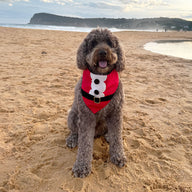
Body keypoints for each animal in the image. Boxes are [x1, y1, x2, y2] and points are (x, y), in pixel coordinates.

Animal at [66, 27, 126, 178]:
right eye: (93, 43)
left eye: (110, 43)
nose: (103, 52)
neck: (100, 78)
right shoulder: (86, 117)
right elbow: (85, 143)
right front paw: (82, 167)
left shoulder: (116, 113)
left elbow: (117, 136)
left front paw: (118, 156)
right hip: (72, 115)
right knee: (75, 131)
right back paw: (72, 139)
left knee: (110, 132)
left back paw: (108, 135)